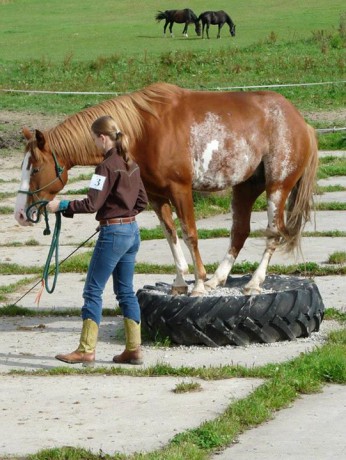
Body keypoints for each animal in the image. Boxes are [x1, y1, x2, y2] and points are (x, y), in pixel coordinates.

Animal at [16, 82, 318, 298]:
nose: (19, 213)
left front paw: (197, 284)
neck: (145, 130)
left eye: (34, 168)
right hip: (245, 188)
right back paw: (218, 279)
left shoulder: (180, 190)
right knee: (240, 232)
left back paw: (253, 283)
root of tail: (301, 122)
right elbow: (170, 234)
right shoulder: (156, 195)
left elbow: (189, 234)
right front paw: (181, 282)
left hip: (277, 188)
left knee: (274, 232)